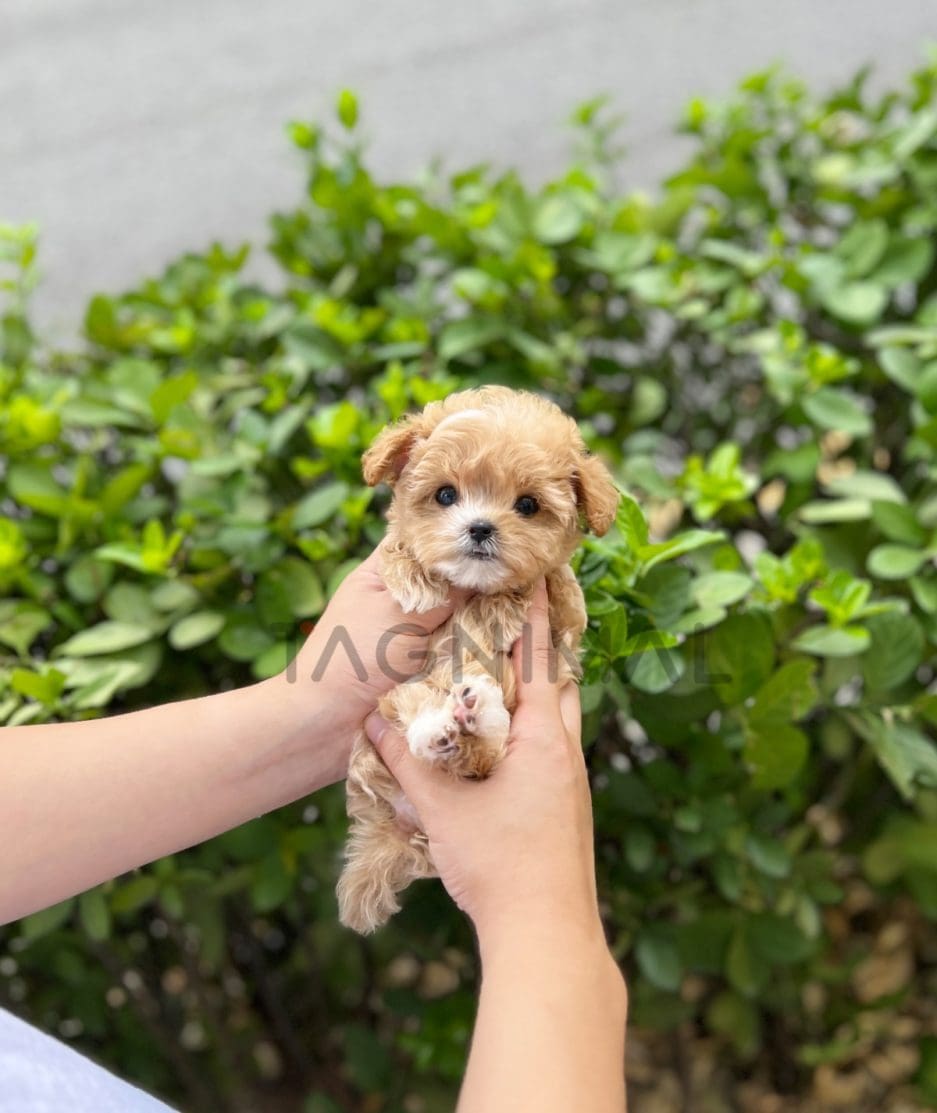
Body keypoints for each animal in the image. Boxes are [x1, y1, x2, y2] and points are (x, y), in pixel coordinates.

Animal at [331, 387, 618, 934]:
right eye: (446, 495)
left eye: (527, 505)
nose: (480, 528)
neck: (474, 589)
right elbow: (399, 551)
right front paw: (418, 582)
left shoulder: (560, 620)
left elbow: (552, 591)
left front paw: (505, 603)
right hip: (387, 710)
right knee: (422, 719)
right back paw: (446, 726)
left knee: (479, 755)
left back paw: (474, 713)